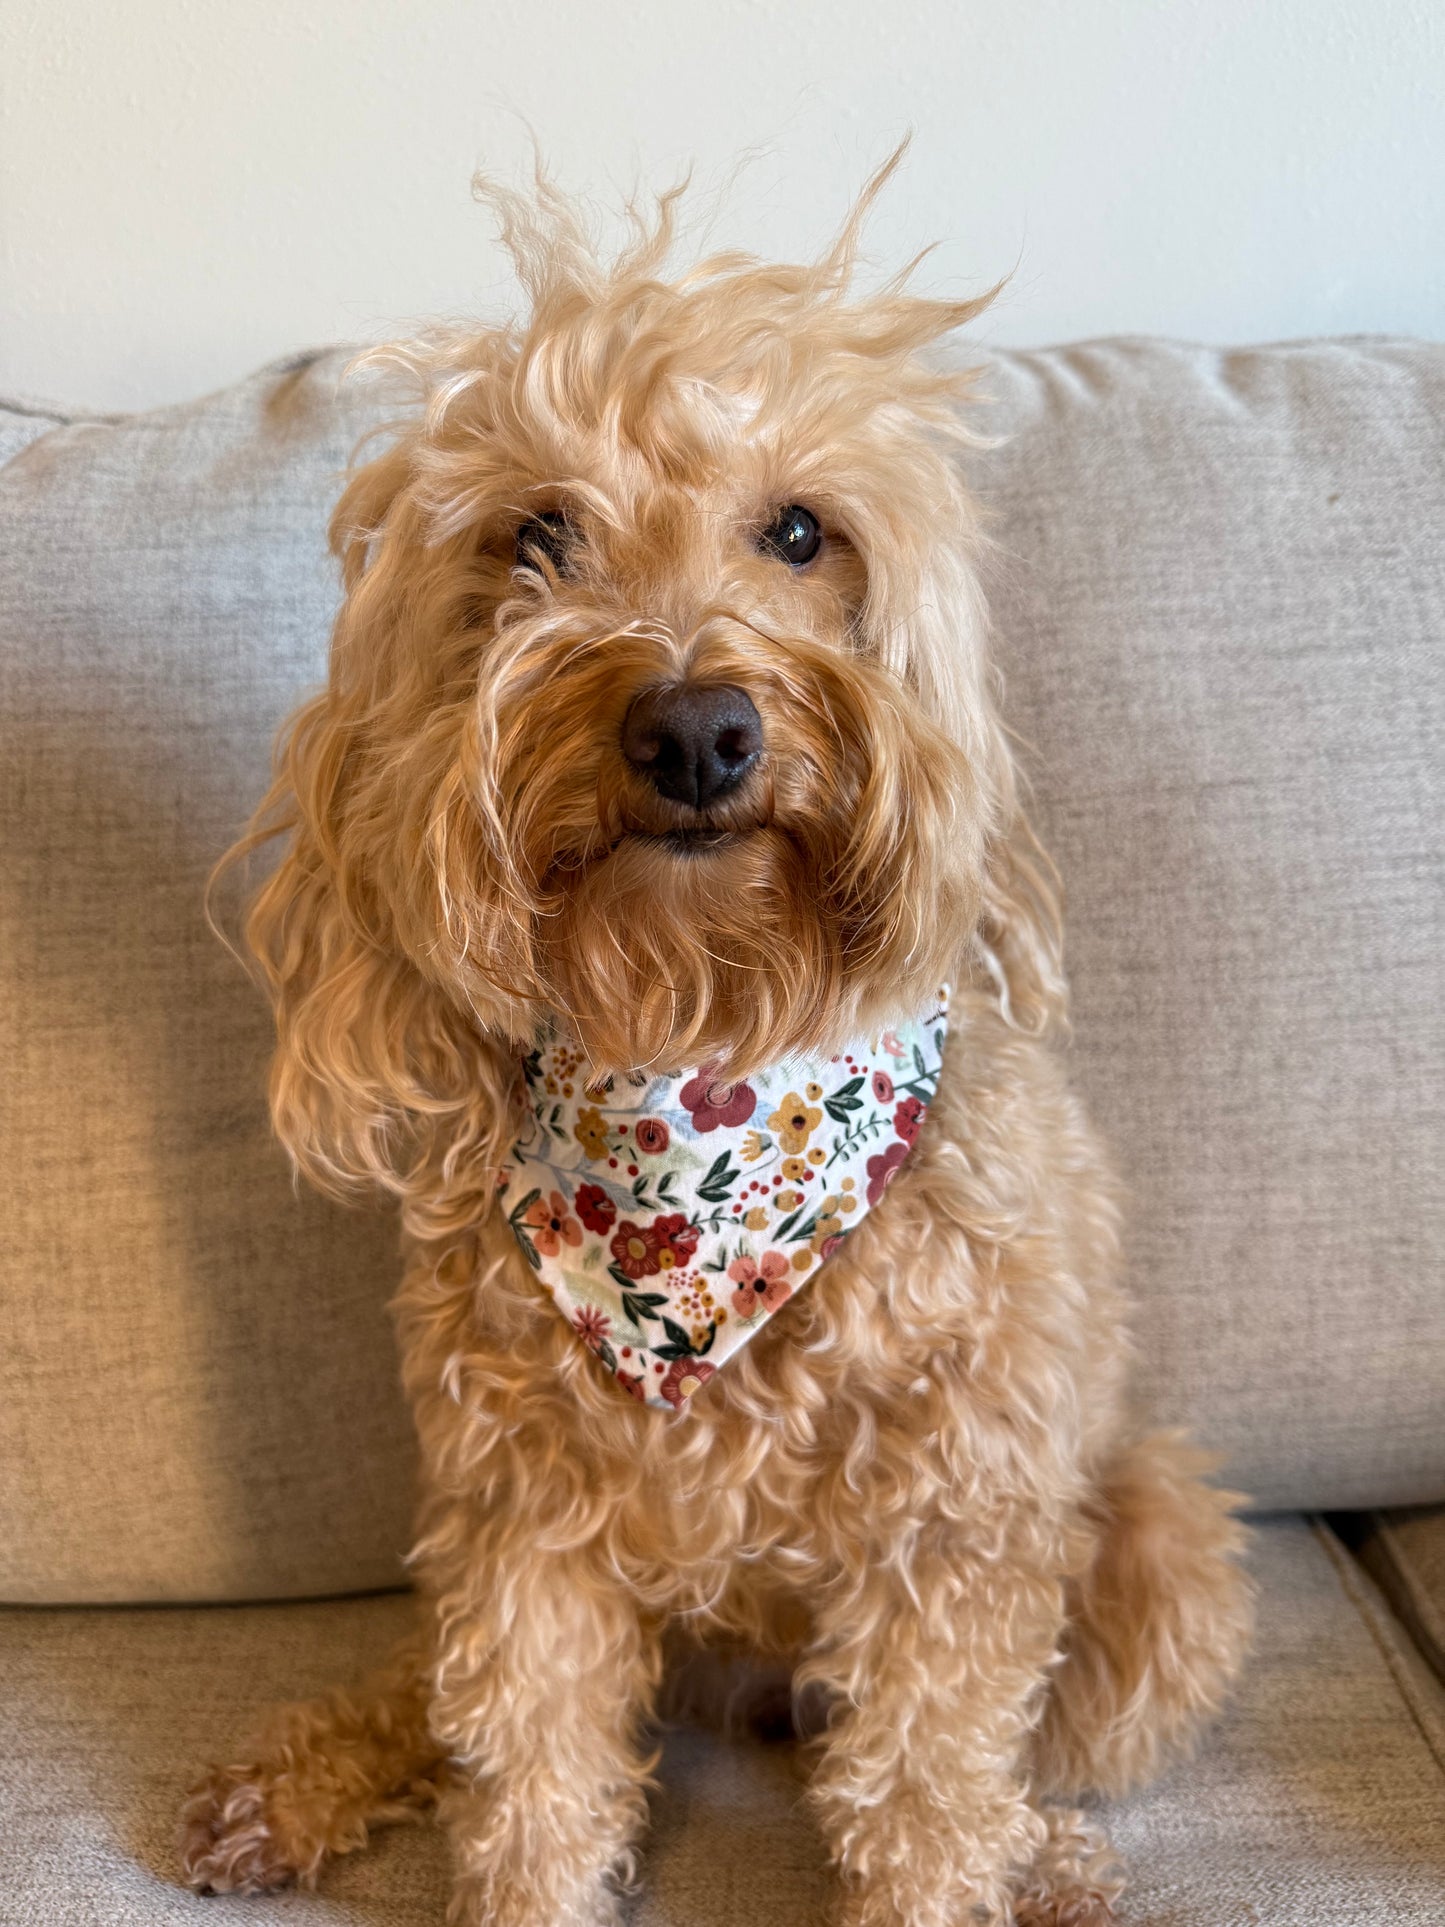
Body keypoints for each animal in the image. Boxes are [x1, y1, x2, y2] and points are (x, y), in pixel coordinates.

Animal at [178, 154, 1256, 1927]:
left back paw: (1043, 1858)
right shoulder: (526, 1521)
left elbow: (929, 1788)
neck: (707, 1060)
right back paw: (290, 1781)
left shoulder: (955, 1529)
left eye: (800, 531)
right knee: (447, 1683)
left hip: (1157, 1542)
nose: (694, 724)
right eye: (539, 532)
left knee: (1013, 1741)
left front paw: (958, 1873)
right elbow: (530, 1775)